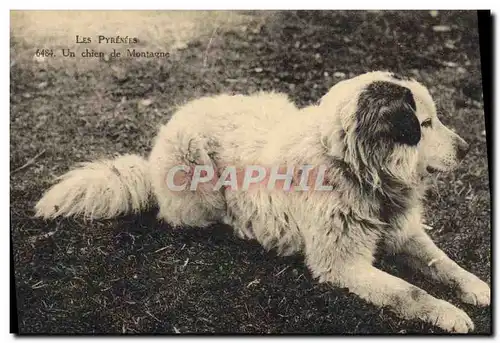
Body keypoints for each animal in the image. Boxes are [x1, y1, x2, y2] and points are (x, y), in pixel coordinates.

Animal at [37, 72, 490, 334]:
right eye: (423, 124)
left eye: (435, 119)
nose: (468, 149)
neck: (356, 168)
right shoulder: (342, 264)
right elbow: (410, 293)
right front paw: (449, 314)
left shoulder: (404, 233)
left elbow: (444, 264)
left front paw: (476, 287)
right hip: (196, 186)